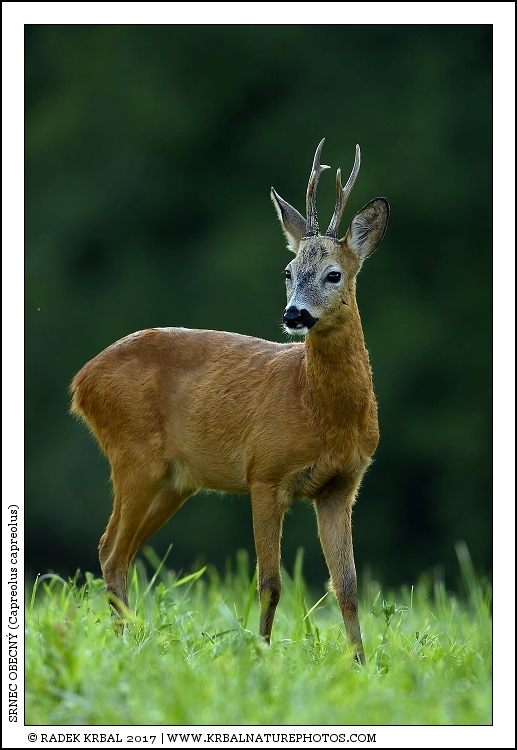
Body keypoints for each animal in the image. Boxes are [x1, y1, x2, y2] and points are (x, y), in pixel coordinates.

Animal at [70, 139, 389, 663]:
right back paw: (127, 645)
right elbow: (270, 583)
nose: (294, 315)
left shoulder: (341, 486)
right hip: (132, 454)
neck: (319, 410)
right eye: (287, 271)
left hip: (175, 480)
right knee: (110, 549)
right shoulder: (265, 472)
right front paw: (261, 654)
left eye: (333, 274)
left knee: (120, 551)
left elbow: (346, 585)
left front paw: (361, 664)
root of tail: (80, 382)